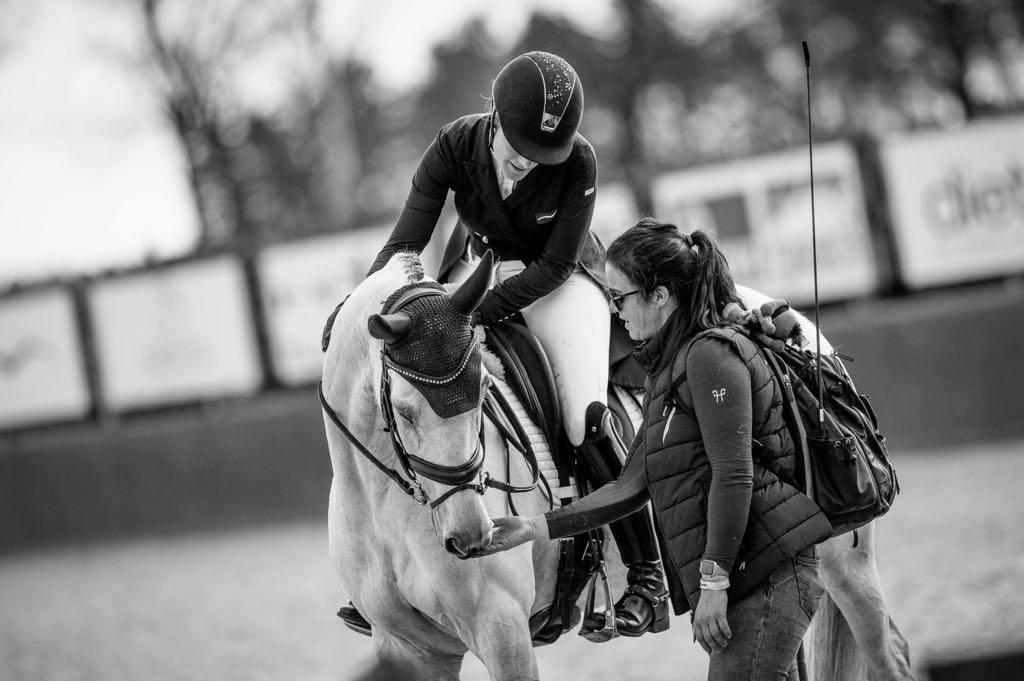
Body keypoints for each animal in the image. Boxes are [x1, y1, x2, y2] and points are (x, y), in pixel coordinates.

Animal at [321, 251, 913, 675]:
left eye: (487, 389)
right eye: (404, 410)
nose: (472, 537)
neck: (386, 506)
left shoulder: (501, 630)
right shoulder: (411, 648)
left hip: (844, 561)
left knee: (888, 652)